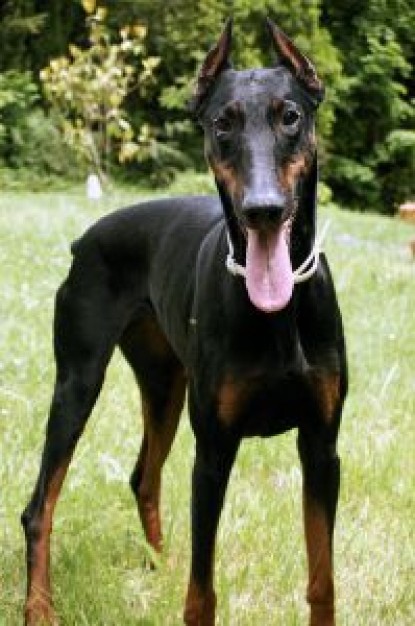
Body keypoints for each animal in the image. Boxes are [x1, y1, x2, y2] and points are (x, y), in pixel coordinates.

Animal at [22, 18, 348, 624]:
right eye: (223, 123)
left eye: (290, 116)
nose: (263, 210)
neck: (279, 313)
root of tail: (86, 237)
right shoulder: (214, 451)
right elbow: (202, 591)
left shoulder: (322, 445)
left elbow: (322, 579)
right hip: (78, 382)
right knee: (40, 507)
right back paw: (39, 607)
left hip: (164, 382)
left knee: (143, 477)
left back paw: (161, 564)